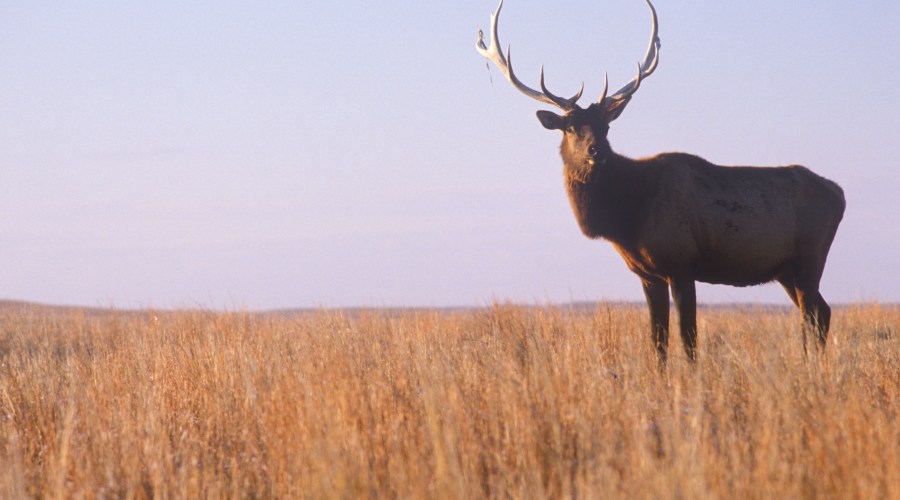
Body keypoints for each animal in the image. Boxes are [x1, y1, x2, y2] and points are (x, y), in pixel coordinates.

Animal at [475, 0, 845, 364]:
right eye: (570, 127)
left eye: (605, 126)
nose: (597, 150)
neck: (627, 216)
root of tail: (839, 193)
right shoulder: (647, 275)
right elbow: (658, 342)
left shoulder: (682, 264)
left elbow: (688, 340)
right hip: (785, 269)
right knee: (822, 312)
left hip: (811, 257)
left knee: (812, 316)